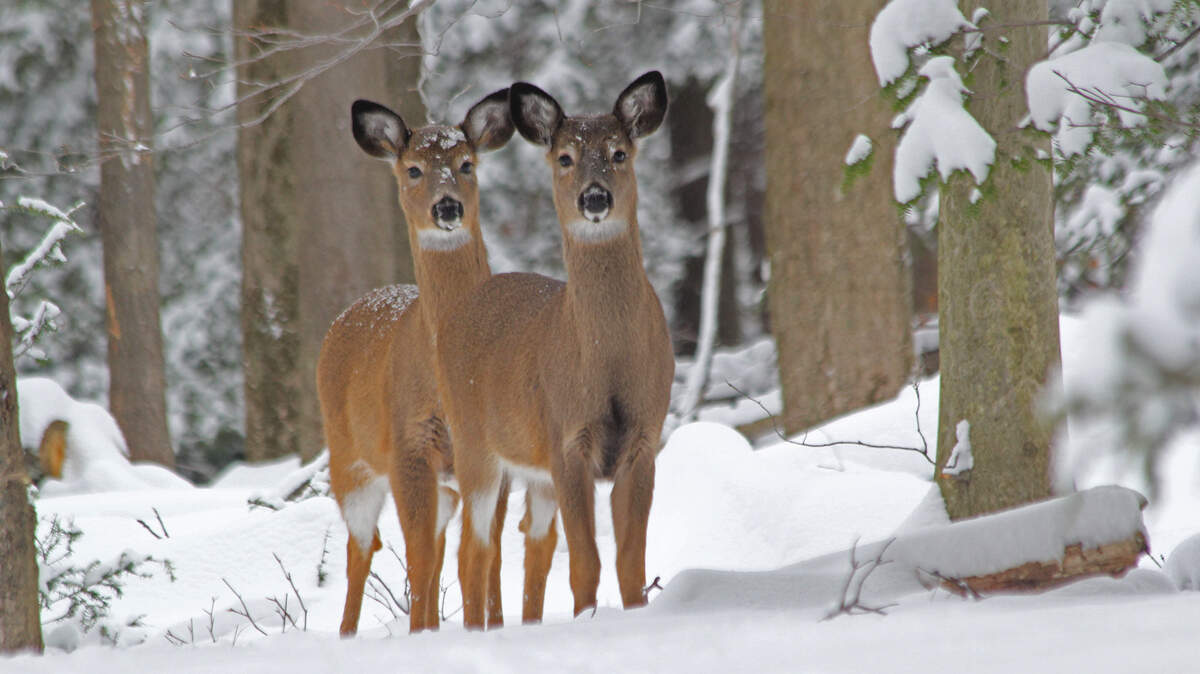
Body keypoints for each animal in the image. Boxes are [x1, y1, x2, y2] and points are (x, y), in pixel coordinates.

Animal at [317, 89, 514, 635]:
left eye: (466, 163)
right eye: (412, 170)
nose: (446, 206)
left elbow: (485, 554)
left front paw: (490, 627)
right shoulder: (407, 443)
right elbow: (420, 556)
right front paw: (425, 636)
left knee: (438, 547)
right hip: (350, 458)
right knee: (362, 548)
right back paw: (349, 635)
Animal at [435, 72, 674, 628]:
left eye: (618, 152)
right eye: (565, 157)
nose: (595, 198)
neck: (606, 361)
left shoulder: (645, 436)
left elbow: (631, 559)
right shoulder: (568, 436)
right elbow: (585, 560)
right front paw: (586, 620)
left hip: (526, 470)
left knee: (518, 546)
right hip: (473, 444)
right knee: (472, 548)